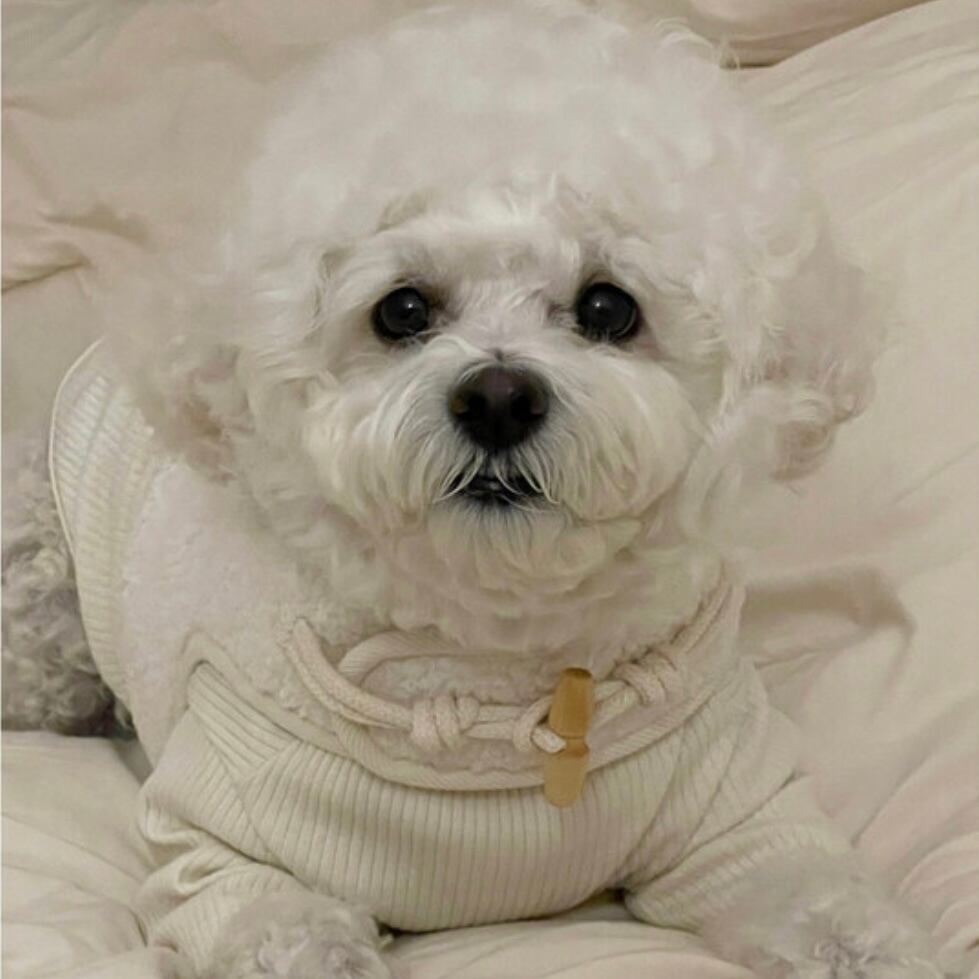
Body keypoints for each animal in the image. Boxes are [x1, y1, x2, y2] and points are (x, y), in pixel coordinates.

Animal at [2, 2, 950, 977]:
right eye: (402, 310)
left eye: (608, 308)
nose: (497, 399)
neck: (492, 667)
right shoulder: (220, 849)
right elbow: (281, 923)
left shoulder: (743, 818)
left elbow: (825, 899)